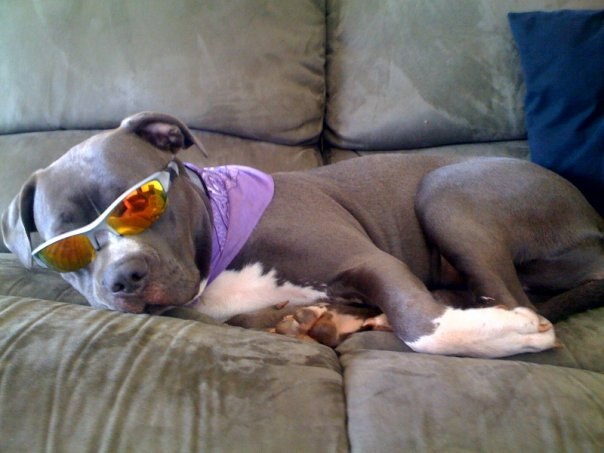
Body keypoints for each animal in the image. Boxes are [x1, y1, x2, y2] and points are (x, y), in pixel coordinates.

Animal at [2, 112, 600, 356]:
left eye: (139, 201)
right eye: (64, 247)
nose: (123, 279)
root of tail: (593, 222)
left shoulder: (370, 259)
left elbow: (421, 323)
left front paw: (506, 334)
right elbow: (245, 319)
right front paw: (303, 320)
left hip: (447, 192)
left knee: (510, 296)